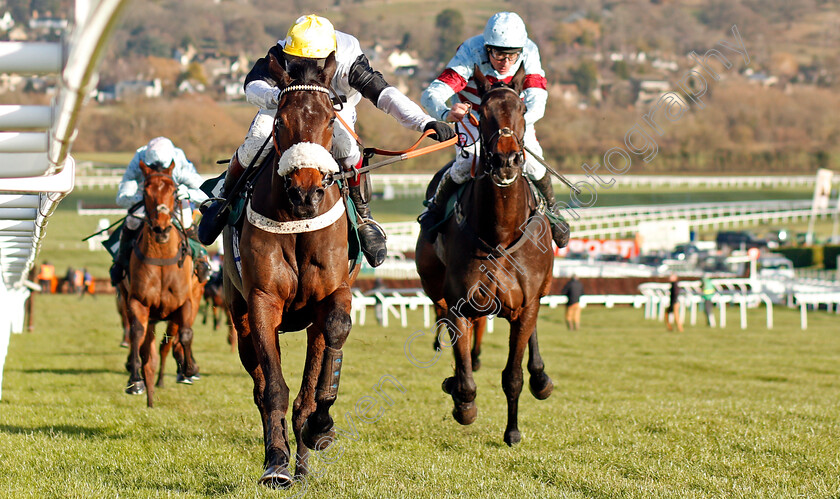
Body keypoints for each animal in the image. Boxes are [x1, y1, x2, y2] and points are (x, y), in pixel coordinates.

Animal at [124, 162, 203, 408]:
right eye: (146, 190)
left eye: (173, 190)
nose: (161, 228)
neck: (160, 257)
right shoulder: (137, 302)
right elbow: (137, 336)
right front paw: (135, 380)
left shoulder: (184, 303)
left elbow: (185, 334)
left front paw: (189, 369)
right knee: (148, 348)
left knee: (171, 342)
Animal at [223, 53, 358, 488]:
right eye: (281, 121)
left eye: (330, 120)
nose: (305, 193)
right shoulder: (262, 302)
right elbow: (274, 390)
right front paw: (276, 463)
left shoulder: (335, 293)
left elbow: (332, 342)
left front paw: (320, 428)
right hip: (239, 315)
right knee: (262, 383)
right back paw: (283, 460)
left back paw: (303, 459)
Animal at [416, 65, 556, 446]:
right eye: (483, 111)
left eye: (522, 108)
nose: (506, 159)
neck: (499, 235)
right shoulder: (459, 303)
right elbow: (465, 376)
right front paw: (463, 403)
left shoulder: (527, 302)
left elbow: (513, 375)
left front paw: (513, 431)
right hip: (435, 289)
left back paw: (541, 378)